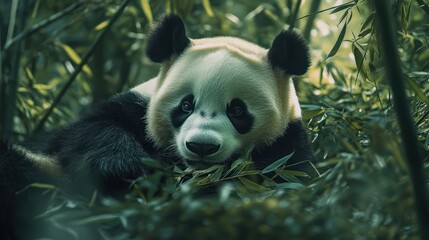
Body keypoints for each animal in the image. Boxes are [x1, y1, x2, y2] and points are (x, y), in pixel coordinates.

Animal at [0, 15, 314, 238]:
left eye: (237, 110)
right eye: (186, 105)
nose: (201, 146)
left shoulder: (283, 154)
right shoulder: (133, 108)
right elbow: (87, 132)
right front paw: (128, 166)